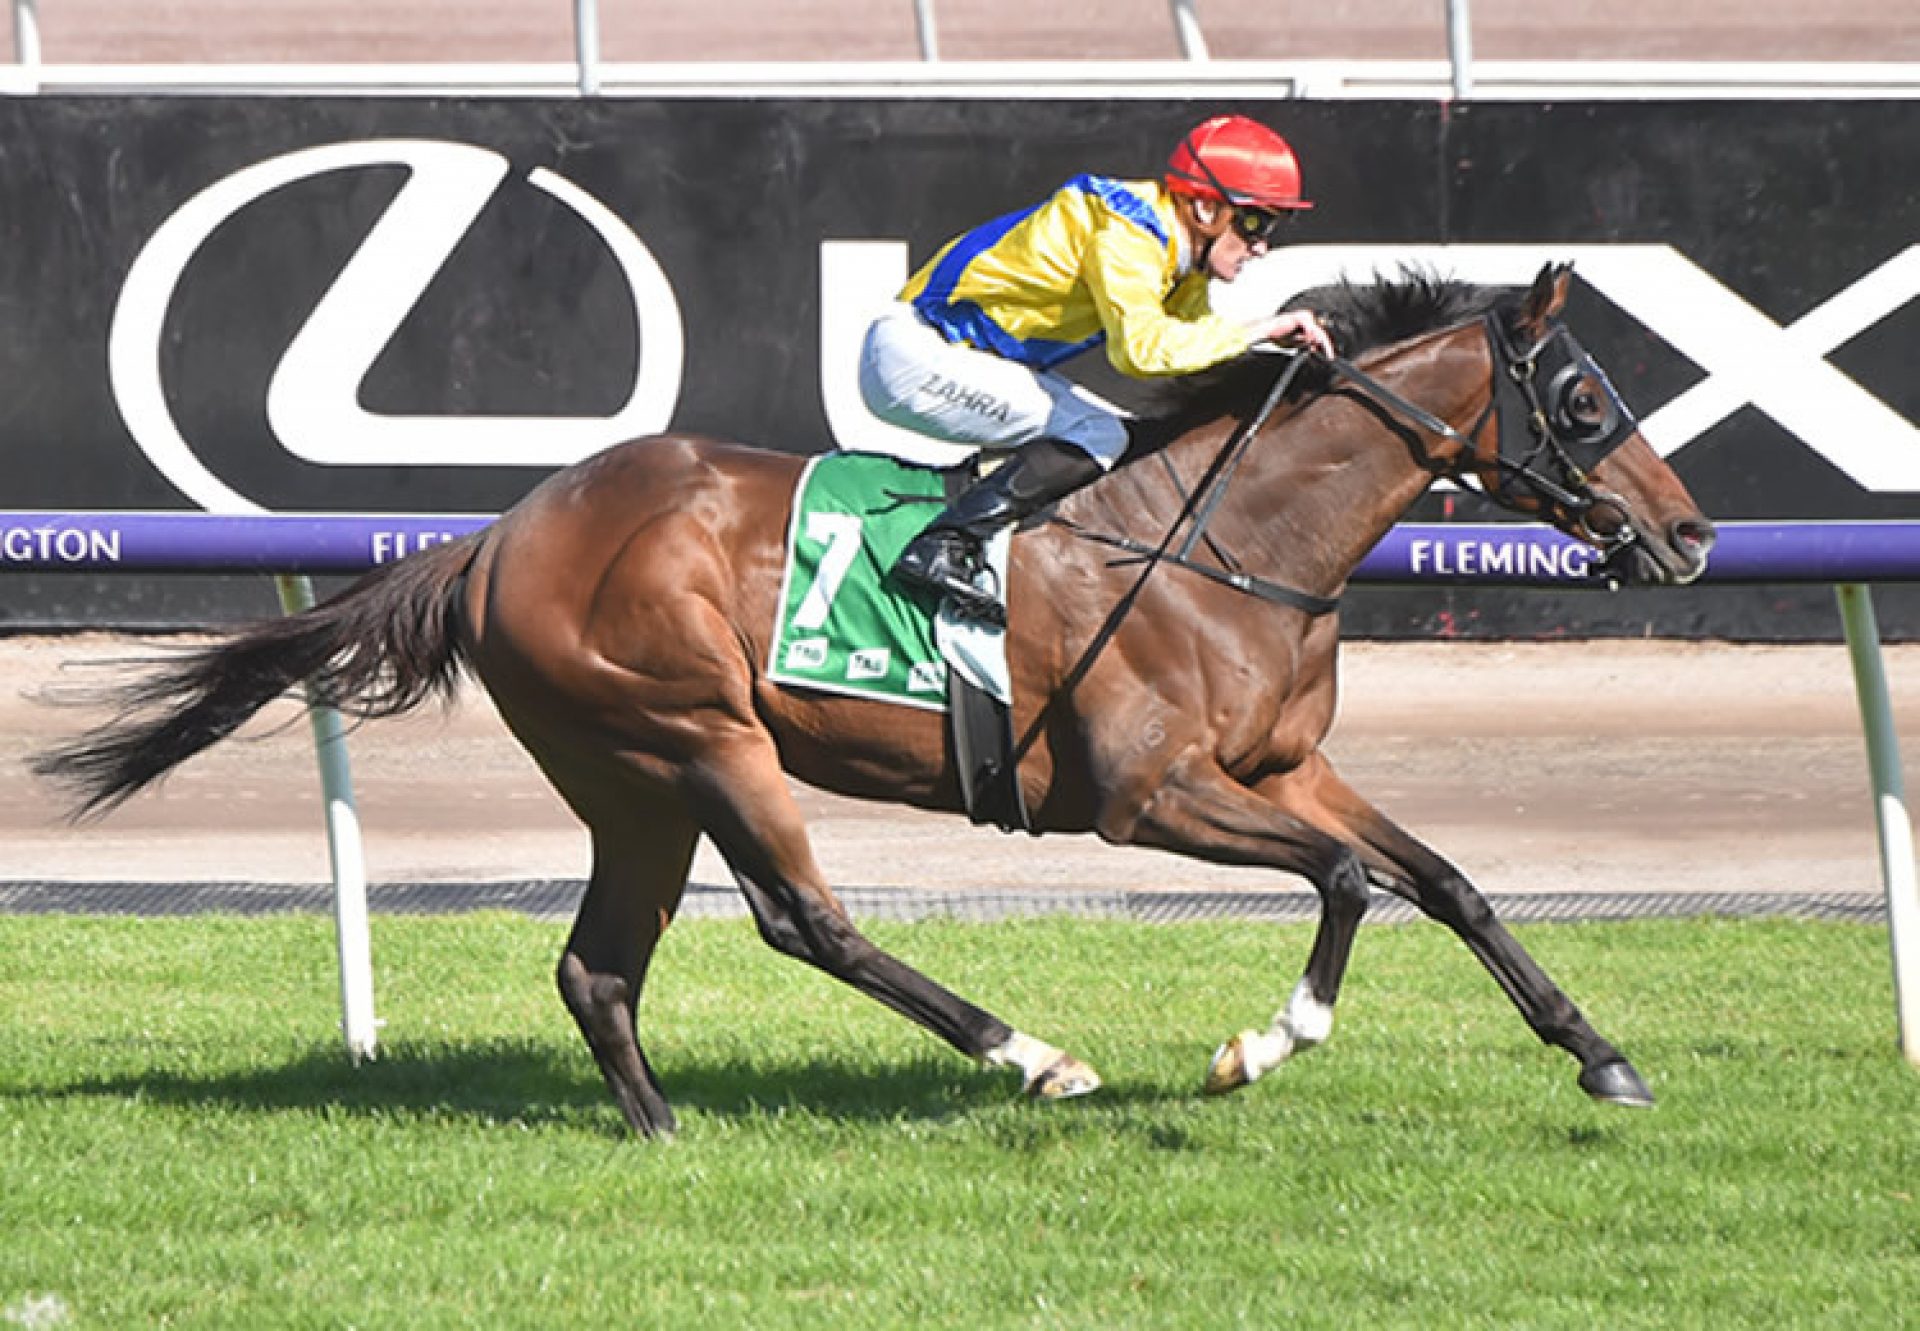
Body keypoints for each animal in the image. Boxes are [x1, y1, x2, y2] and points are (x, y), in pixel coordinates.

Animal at [37, 266, 1712, 1129]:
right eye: (1585, 398)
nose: (1691, 535)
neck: (1226, 540)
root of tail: (501, 532)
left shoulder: (1280, 764)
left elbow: (1449, 878)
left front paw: (1604, 1054)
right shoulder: (1146, 796)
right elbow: (1358, 880)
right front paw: (1258, 1043)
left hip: (630, 778)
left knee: (599, 963)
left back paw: (660, 1127)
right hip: (700, 733)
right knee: (804, 918)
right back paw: (1029, 1051)